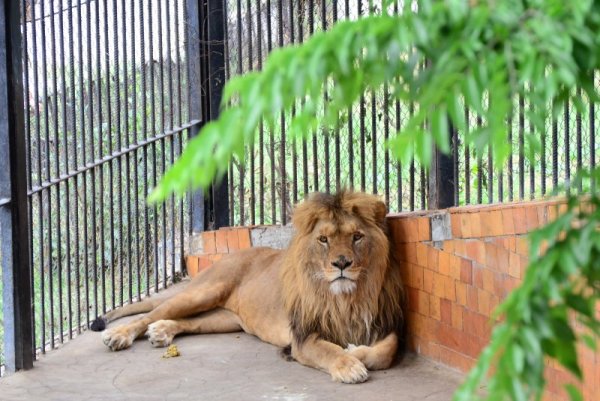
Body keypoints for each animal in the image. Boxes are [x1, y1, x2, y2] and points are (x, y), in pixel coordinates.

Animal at [91, 189, 406, 382]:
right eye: (323, 240)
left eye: (357, 236)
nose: (342, 263)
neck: (346, 299)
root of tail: (229, 256)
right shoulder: (303, 337)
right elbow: (328, 350)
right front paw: (348, 365)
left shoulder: (384, 323)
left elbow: (385, 352)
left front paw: (354, 352)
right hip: (203, 292)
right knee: (147, 316)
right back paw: (118, 335)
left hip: (225, 319)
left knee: (187, 322)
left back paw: (162, 332)